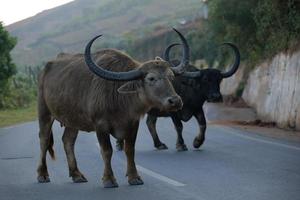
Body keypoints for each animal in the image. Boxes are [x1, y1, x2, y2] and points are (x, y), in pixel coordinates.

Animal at [36, 28, 189, 188]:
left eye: (171, 77)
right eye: (151, 78)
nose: (175, 101)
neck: (120, 100)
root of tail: (45, 70)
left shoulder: (133, 124)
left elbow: (129, 150)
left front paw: (134, 177)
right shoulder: (100, 126)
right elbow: (107, 151)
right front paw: (109, 179)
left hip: (72, 120)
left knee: (68, 141)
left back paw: (76, 174)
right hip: (44, 112)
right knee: (44, 139)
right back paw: (42, 174)